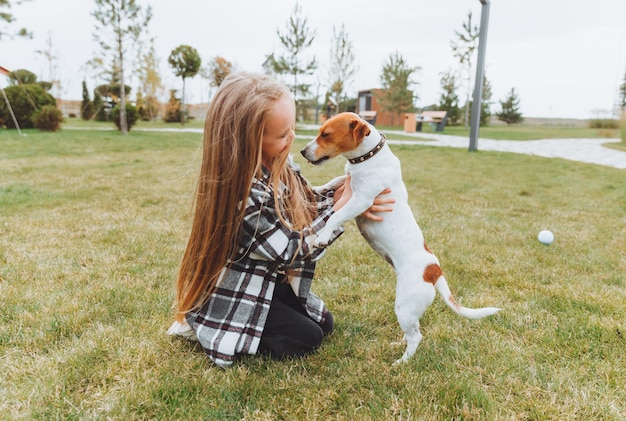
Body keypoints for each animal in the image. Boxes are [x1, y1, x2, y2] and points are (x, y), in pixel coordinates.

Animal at [300, 111, 500, 364]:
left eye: (325, 134)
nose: (302, 151)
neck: (367, 158)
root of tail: (434, 270)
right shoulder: (348, 182)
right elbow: (334, 181)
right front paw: (316, 189)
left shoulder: (362, 200)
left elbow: (336, 215)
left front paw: (322, 236)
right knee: (410, 334)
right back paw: (397, 345)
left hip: (404, 306)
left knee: (416, 337)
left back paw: (401, 362)